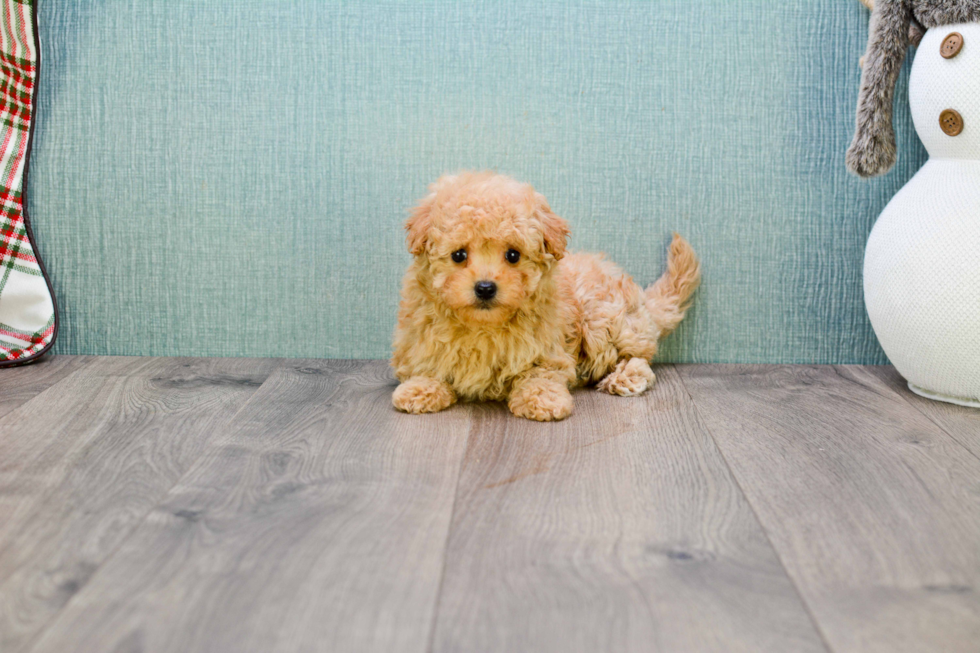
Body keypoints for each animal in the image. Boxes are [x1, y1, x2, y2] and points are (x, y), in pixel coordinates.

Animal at [390, 171, 696, 420]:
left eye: (513, 255)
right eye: (458, 255)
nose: (485, 287)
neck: (483, 327)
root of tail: (643, 302)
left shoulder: (548, 350)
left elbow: (540, 374)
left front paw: (543, 400)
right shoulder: (420, 339)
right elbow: (426, 367)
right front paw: (418, 389)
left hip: (602, 319)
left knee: (638, 359)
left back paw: (625, 377)